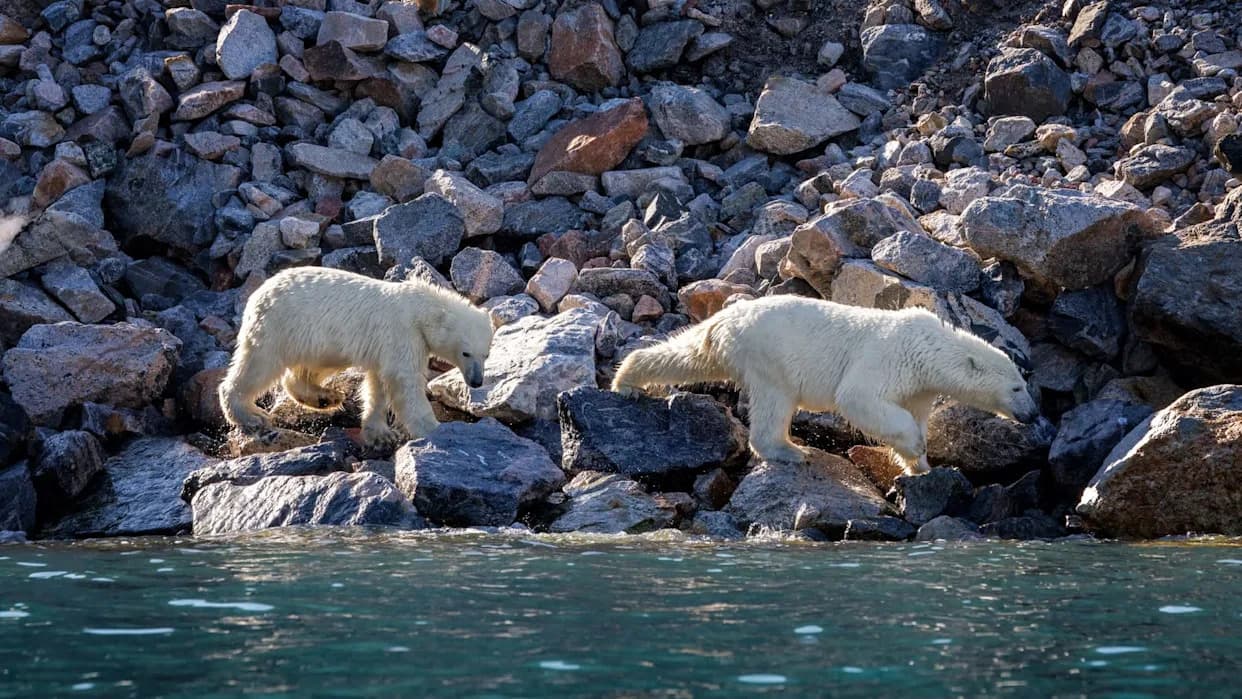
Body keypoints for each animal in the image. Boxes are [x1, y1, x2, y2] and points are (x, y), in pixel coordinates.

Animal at [218, 266, 494, 449]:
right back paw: (251, 416)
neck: (420, 308)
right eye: (465, 352)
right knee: (259, 366)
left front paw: (381, 433)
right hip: (279, 327)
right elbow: (404, 380)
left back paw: (325, 397)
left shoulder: (387, 346)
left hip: (311, 340)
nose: (477, 381)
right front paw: (434, 429)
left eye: (486, 354)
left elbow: (379, 383)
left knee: (308, 369)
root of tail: (257, 294)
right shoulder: (402, 332)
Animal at [610, 295, 1039, 474]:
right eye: (1017, 388)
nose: (1034, 414)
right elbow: (857, 396)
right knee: (774, 403)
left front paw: (919, 465)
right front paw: (917, 449)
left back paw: (627, 378)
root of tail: (727, 318)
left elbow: (913, 414)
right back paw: (790, 450)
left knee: (688, 354)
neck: (926, 346)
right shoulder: (889, 357)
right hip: (771, 356)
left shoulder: (920, 388)